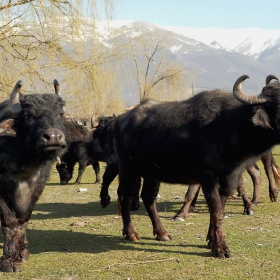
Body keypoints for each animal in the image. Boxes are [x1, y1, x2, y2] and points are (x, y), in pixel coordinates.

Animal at [0, 80, 66, 272]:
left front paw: (21, 253)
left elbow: (24, 219)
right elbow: (10, 222)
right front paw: (9, 260)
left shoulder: (38, 187)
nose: (53, 136)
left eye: (60, 113)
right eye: (28, 115)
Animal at [112, 74, 280, 258]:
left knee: (149, 198)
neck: (227, 126)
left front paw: (211, 240)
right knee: (125, 196)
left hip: (152, 173)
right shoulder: (208, 178)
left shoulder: (228, 179)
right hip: (128, 169)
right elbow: (216, 210)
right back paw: (131, 233)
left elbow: (218, 210)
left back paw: (162, 233)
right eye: (279, 106)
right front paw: (221, 248)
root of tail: (120, 119)